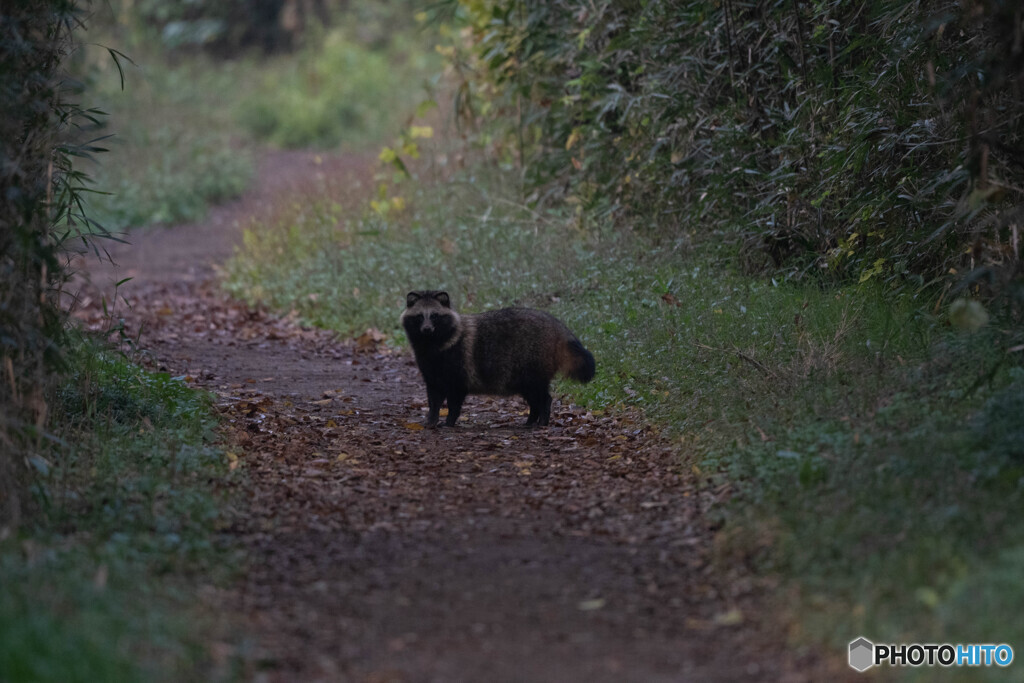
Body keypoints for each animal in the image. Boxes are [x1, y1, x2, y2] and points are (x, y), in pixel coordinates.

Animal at [397, 290, 598, 428]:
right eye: (419, 317)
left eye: (435, 316)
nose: (427, 329)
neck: (431, 343)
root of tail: (557, 326)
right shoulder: (430, 368)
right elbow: (434, 397)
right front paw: (432, 419)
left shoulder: (458, 365)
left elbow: (454, 399)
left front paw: (449, 421)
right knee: (533, 397)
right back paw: (531, 419)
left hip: (533, 362)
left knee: (542, 396)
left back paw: (542, 418)